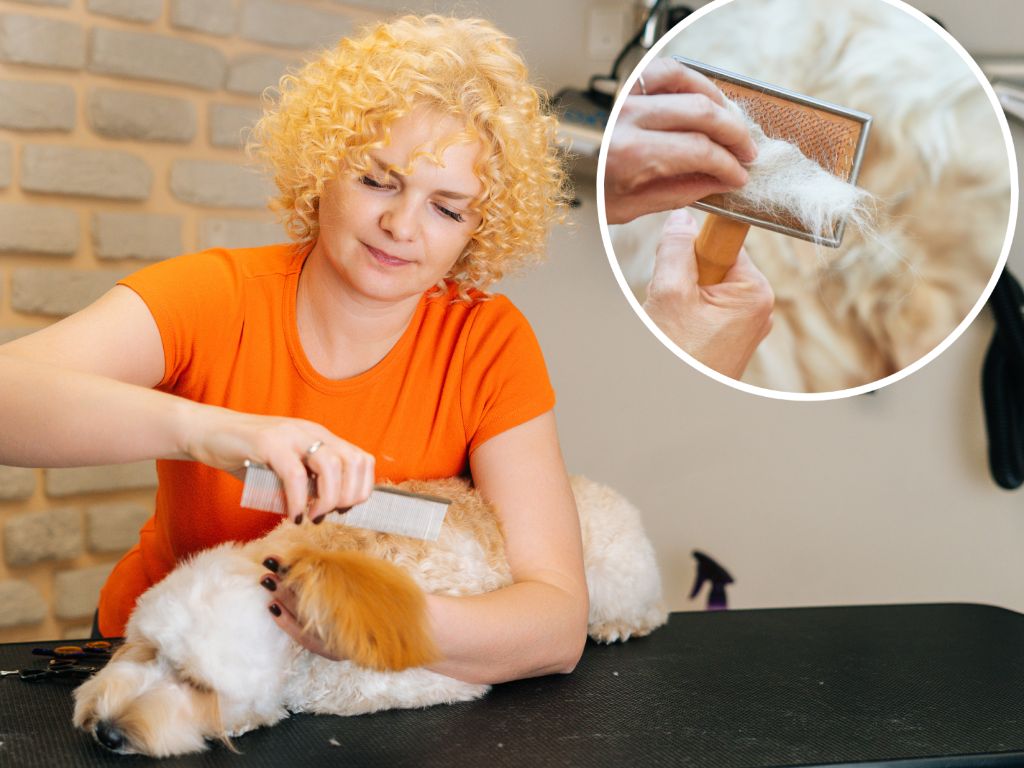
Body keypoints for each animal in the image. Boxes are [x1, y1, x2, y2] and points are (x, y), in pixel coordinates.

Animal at [70, 475, 663, 757]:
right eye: (148, 650)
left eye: (197, 684)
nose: (107, 732)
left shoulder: (432, 675)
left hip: (613, 579)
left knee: (650, 614)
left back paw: (617, 626)